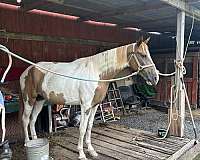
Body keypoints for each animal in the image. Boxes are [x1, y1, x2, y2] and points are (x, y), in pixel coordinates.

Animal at [19, 37, 159, 159]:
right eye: (142, 55)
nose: (155, 78)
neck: (96, 72)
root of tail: (28, 70)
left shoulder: (94, 106)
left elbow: (90, 127)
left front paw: (91, 151)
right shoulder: (85, 106)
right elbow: (82, 128)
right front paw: (81, 154)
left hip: (39, 100)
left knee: (32, 120)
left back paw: (35, 141)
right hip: (29, 100)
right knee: (25, 120)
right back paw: (27, 143)